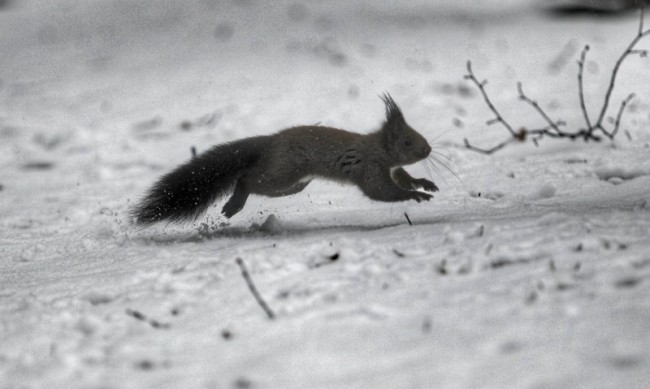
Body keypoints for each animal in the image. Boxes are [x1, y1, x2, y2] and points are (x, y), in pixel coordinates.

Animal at [130, 93, 436, 226]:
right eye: (407, 141)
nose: (429, 149)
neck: (377, 148)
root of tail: (270, 141)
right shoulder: (370, 168)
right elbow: (382, 191)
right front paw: (416, 196)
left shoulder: (391, 168)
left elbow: (402, 178)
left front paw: (423, 183)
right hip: (283, 171)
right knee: (247, 179)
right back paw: (234, 204)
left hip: (289, 181)